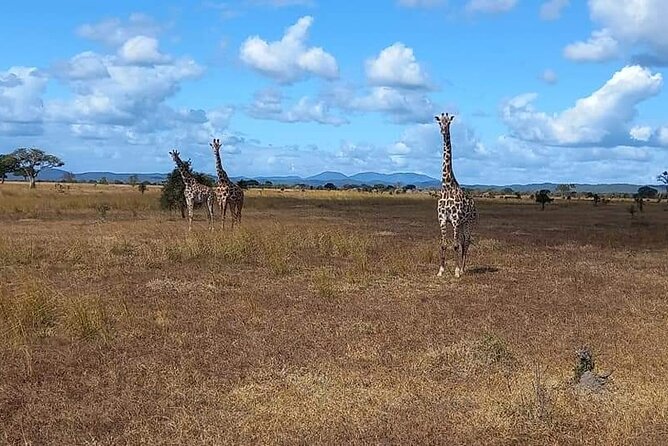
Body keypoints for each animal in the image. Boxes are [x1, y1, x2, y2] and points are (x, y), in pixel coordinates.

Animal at [436, 113, 478, 278]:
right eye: (439, 121)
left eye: (449, 122)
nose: (443, 130)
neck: (447, 185)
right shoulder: (442, 219)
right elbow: (443, 244)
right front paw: (441, 270)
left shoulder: (454, 220)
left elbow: (454, 245)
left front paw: (456, 271)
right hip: (461, 224)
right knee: (462, 241)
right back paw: (462, 267)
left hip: (468, 222)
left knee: (466, 241)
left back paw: (463, 268)